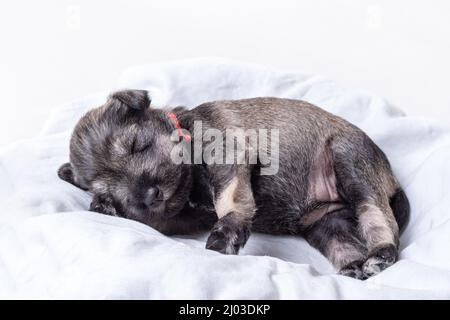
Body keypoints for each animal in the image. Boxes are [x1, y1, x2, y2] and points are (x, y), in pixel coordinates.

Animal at [58, 89, 410, 278]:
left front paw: (226, 235)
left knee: (378, 218)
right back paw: (353, 268)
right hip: (326, 223)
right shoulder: (177, 218)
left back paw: (380, 254)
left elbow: (229, 196)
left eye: (137, 146)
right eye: (110, 192)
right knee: (345, 244)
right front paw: (103, 207)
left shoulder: (228, 155)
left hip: (350, 163)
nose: (149, 196)